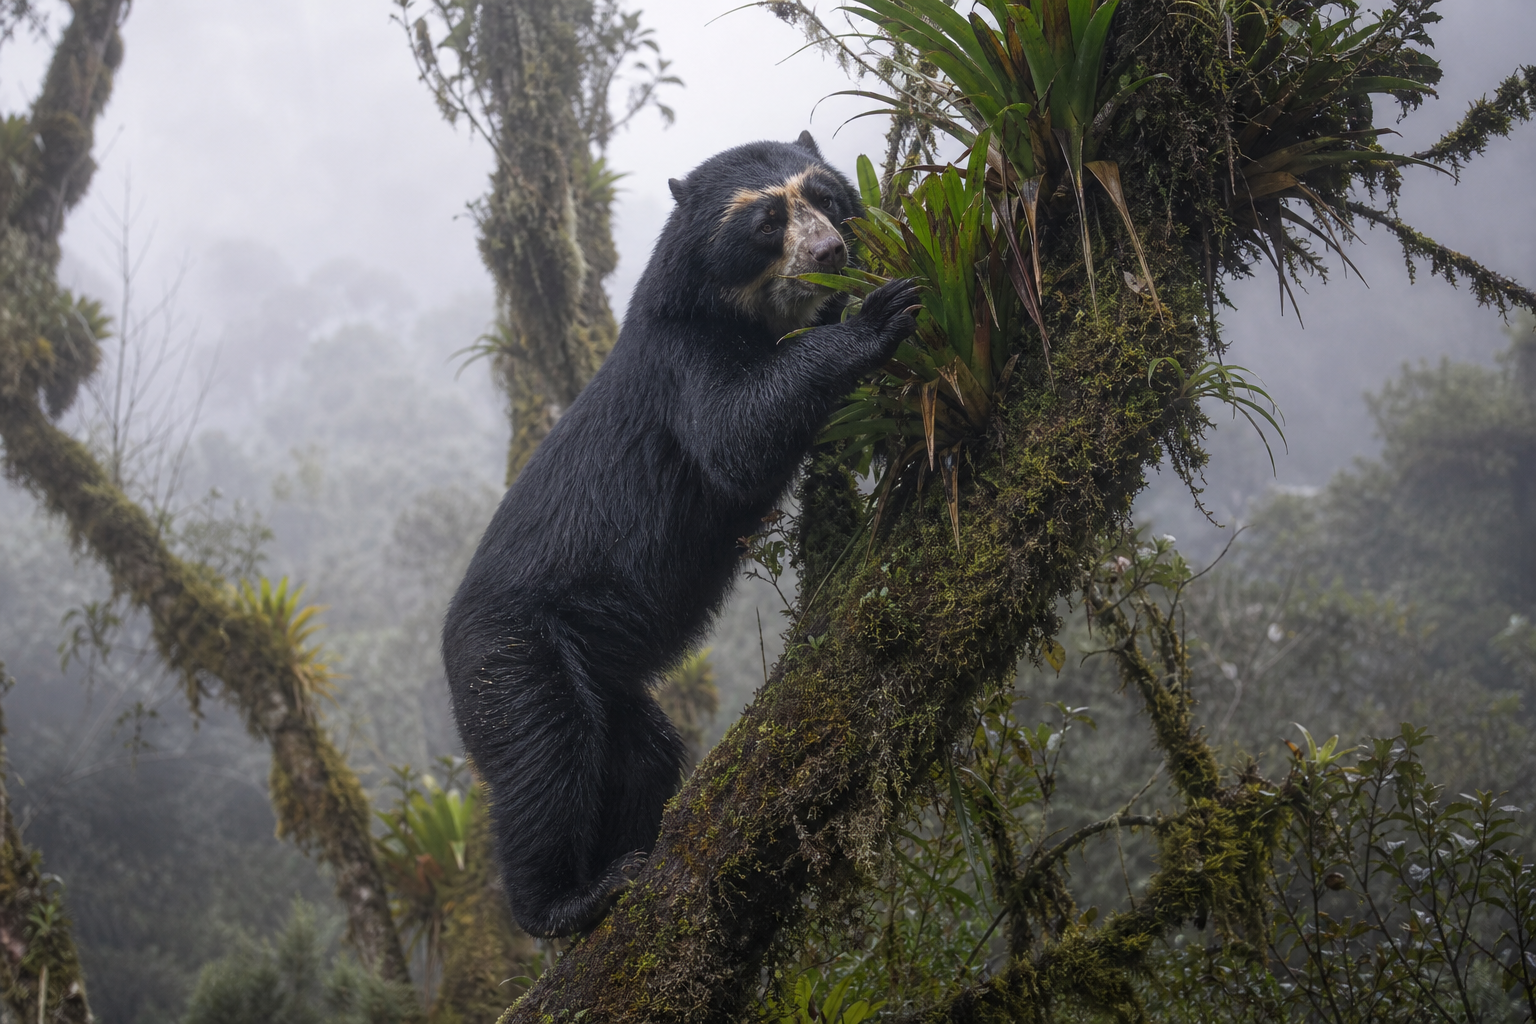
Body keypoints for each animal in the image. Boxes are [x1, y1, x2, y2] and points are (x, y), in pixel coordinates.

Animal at [442, 131, 919, 938]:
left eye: (826, 196)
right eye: (767, 222)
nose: (831, 249)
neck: (747, 310)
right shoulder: (682, 359)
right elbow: (736, 432)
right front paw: (882, 312)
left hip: (603, 676)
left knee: (641, 755)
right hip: (511, 658)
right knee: (545, 762)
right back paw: (568, 902)